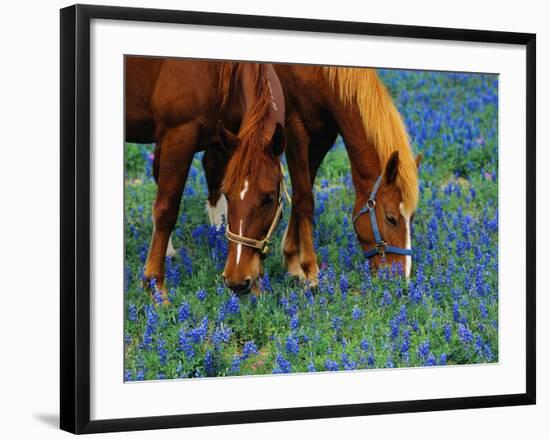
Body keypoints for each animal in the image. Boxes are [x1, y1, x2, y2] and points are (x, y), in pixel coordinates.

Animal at [126, 57, 286, 302]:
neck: (217, 69)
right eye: (229, 195)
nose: (237, 282)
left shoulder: (225, 139)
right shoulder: (178, 134)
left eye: (268, 198)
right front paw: (154, 285)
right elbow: (166, 209)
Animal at [205, 63, 420, 288]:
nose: (402, 278)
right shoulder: (294, 128)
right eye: (391, 219)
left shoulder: (323, 134)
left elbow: (304, 191)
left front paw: (292, 259)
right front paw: (310, 270)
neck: (322, 73)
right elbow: (305, 199)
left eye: (412, 218)